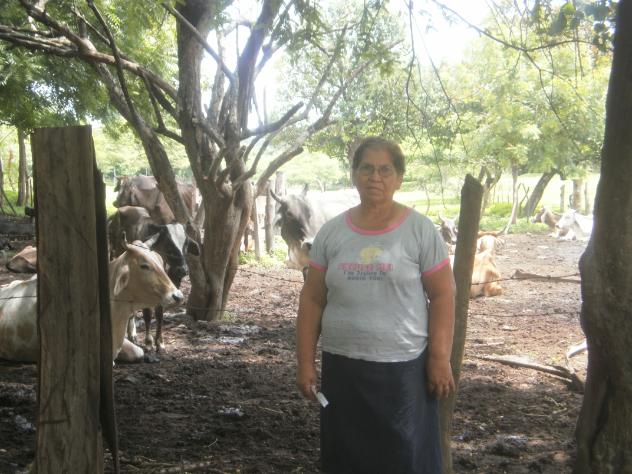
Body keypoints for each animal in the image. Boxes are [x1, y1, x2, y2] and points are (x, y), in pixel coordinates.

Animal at [108, 205, 198, 352]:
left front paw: (160, 342)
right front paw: (149, 342)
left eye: (186, 244)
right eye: (169, 243)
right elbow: (148, 313)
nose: (182, 269)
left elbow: (160, 312)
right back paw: (131, 333)